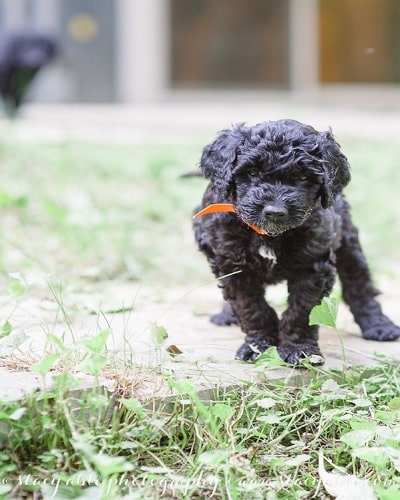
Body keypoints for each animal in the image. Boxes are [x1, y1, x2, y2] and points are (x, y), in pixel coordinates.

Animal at [194, 119, 400, 366]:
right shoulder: (232, 264)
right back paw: (227, 315)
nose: (275, 212)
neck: (270, 235)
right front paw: (258, 346)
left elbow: (303, 310)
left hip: (348, 244)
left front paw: (299, 350)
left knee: (359, 285)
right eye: (252, 172)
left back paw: (379, 325)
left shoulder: (313, 264)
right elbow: (252, 307)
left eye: (303, 177)